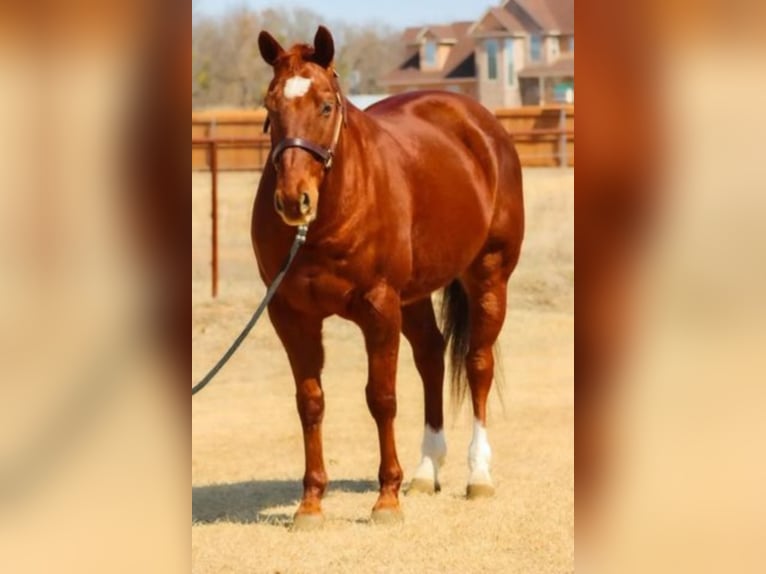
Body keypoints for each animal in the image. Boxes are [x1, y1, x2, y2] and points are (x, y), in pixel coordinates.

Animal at [254, 28, 528, 532]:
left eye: (326, 105)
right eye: (270, 105)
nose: (294, 200)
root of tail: (478, 122)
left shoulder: (379, 308)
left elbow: (381, 398)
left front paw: (386, 500)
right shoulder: (290, 315)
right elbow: (310, 402)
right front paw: (310, 504)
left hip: (488, 276)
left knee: (478, 364)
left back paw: (478, 475)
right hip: (414, 296)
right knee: (432, 357)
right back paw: (425, 471)